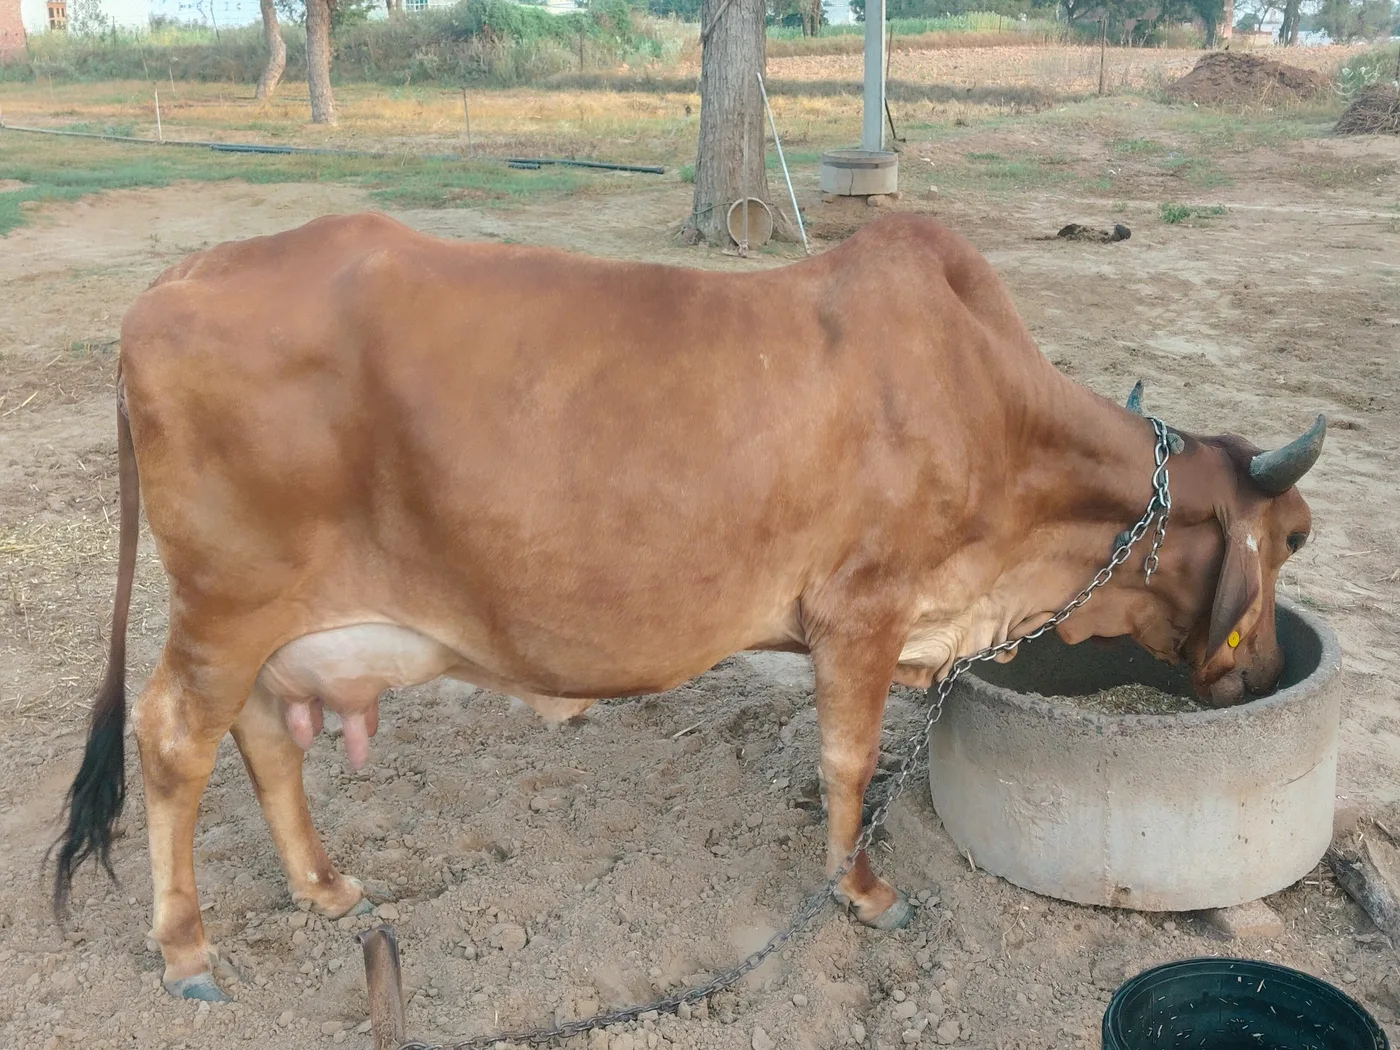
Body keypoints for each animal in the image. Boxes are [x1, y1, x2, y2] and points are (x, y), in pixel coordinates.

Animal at [50, 212, 1325, 1002]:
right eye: (1293, 537)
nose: (1262, 674)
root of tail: (171, 285)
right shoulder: (857, 612)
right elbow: (848, 762)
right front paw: (861, 891)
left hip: (275, 630)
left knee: (265, 733)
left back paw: (320, 885)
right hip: (225, 606)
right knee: (173, 742)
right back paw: (186, 948)